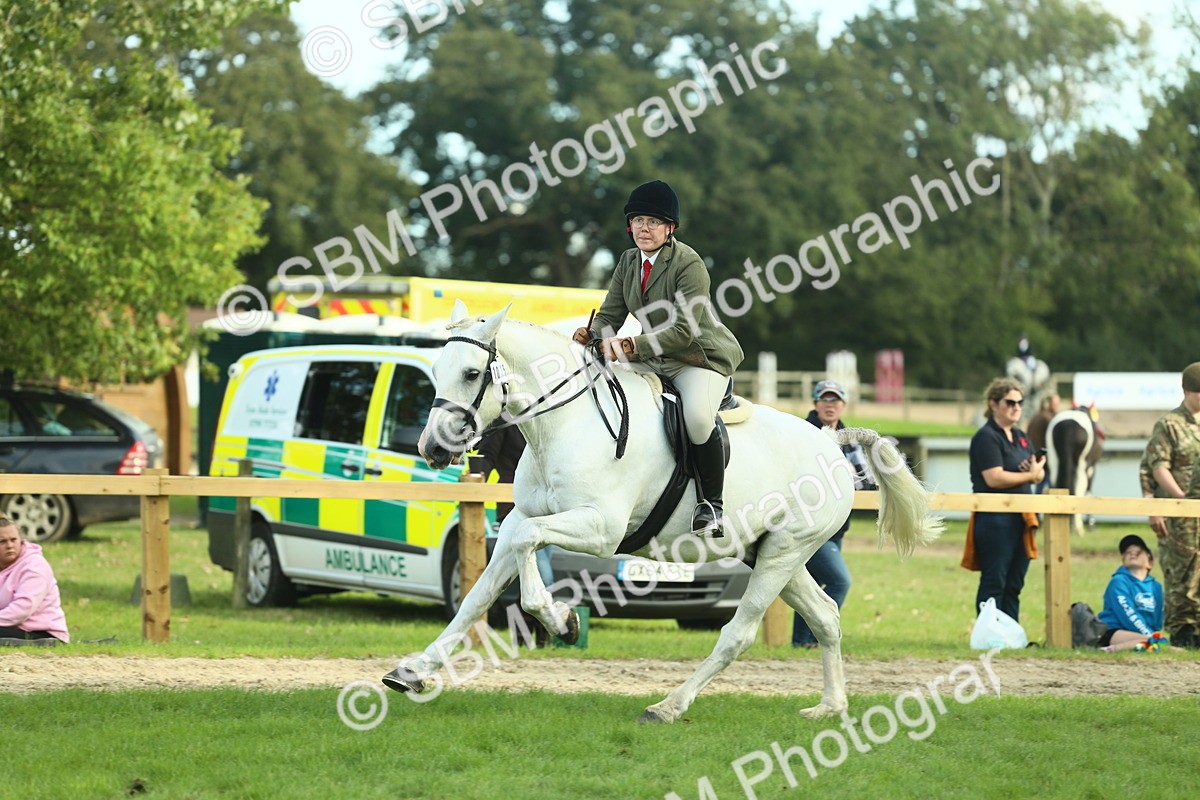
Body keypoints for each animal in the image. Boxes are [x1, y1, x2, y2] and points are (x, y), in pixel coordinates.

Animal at [382, 302, 943, 723]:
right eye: (437, 371)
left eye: (472, 372)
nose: (432, 449)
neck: (564, 424)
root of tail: (831, 443)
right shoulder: (523, 518)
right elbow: (476, 597)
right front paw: (411, 672)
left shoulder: (599, 530)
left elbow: (526, 556)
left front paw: (561, 619)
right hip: (772, 555)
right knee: (825, 617)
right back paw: (830, 707)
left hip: (784, 553)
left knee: (738, 634)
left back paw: (669, 705)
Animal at [1044, 406, 1103, 535]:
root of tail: (1068, 424)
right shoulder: (1091, 468)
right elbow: (1088, 490)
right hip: (1082, 465)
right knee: (1079, 489)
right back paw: (1078, 527)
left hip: (1054, 461)